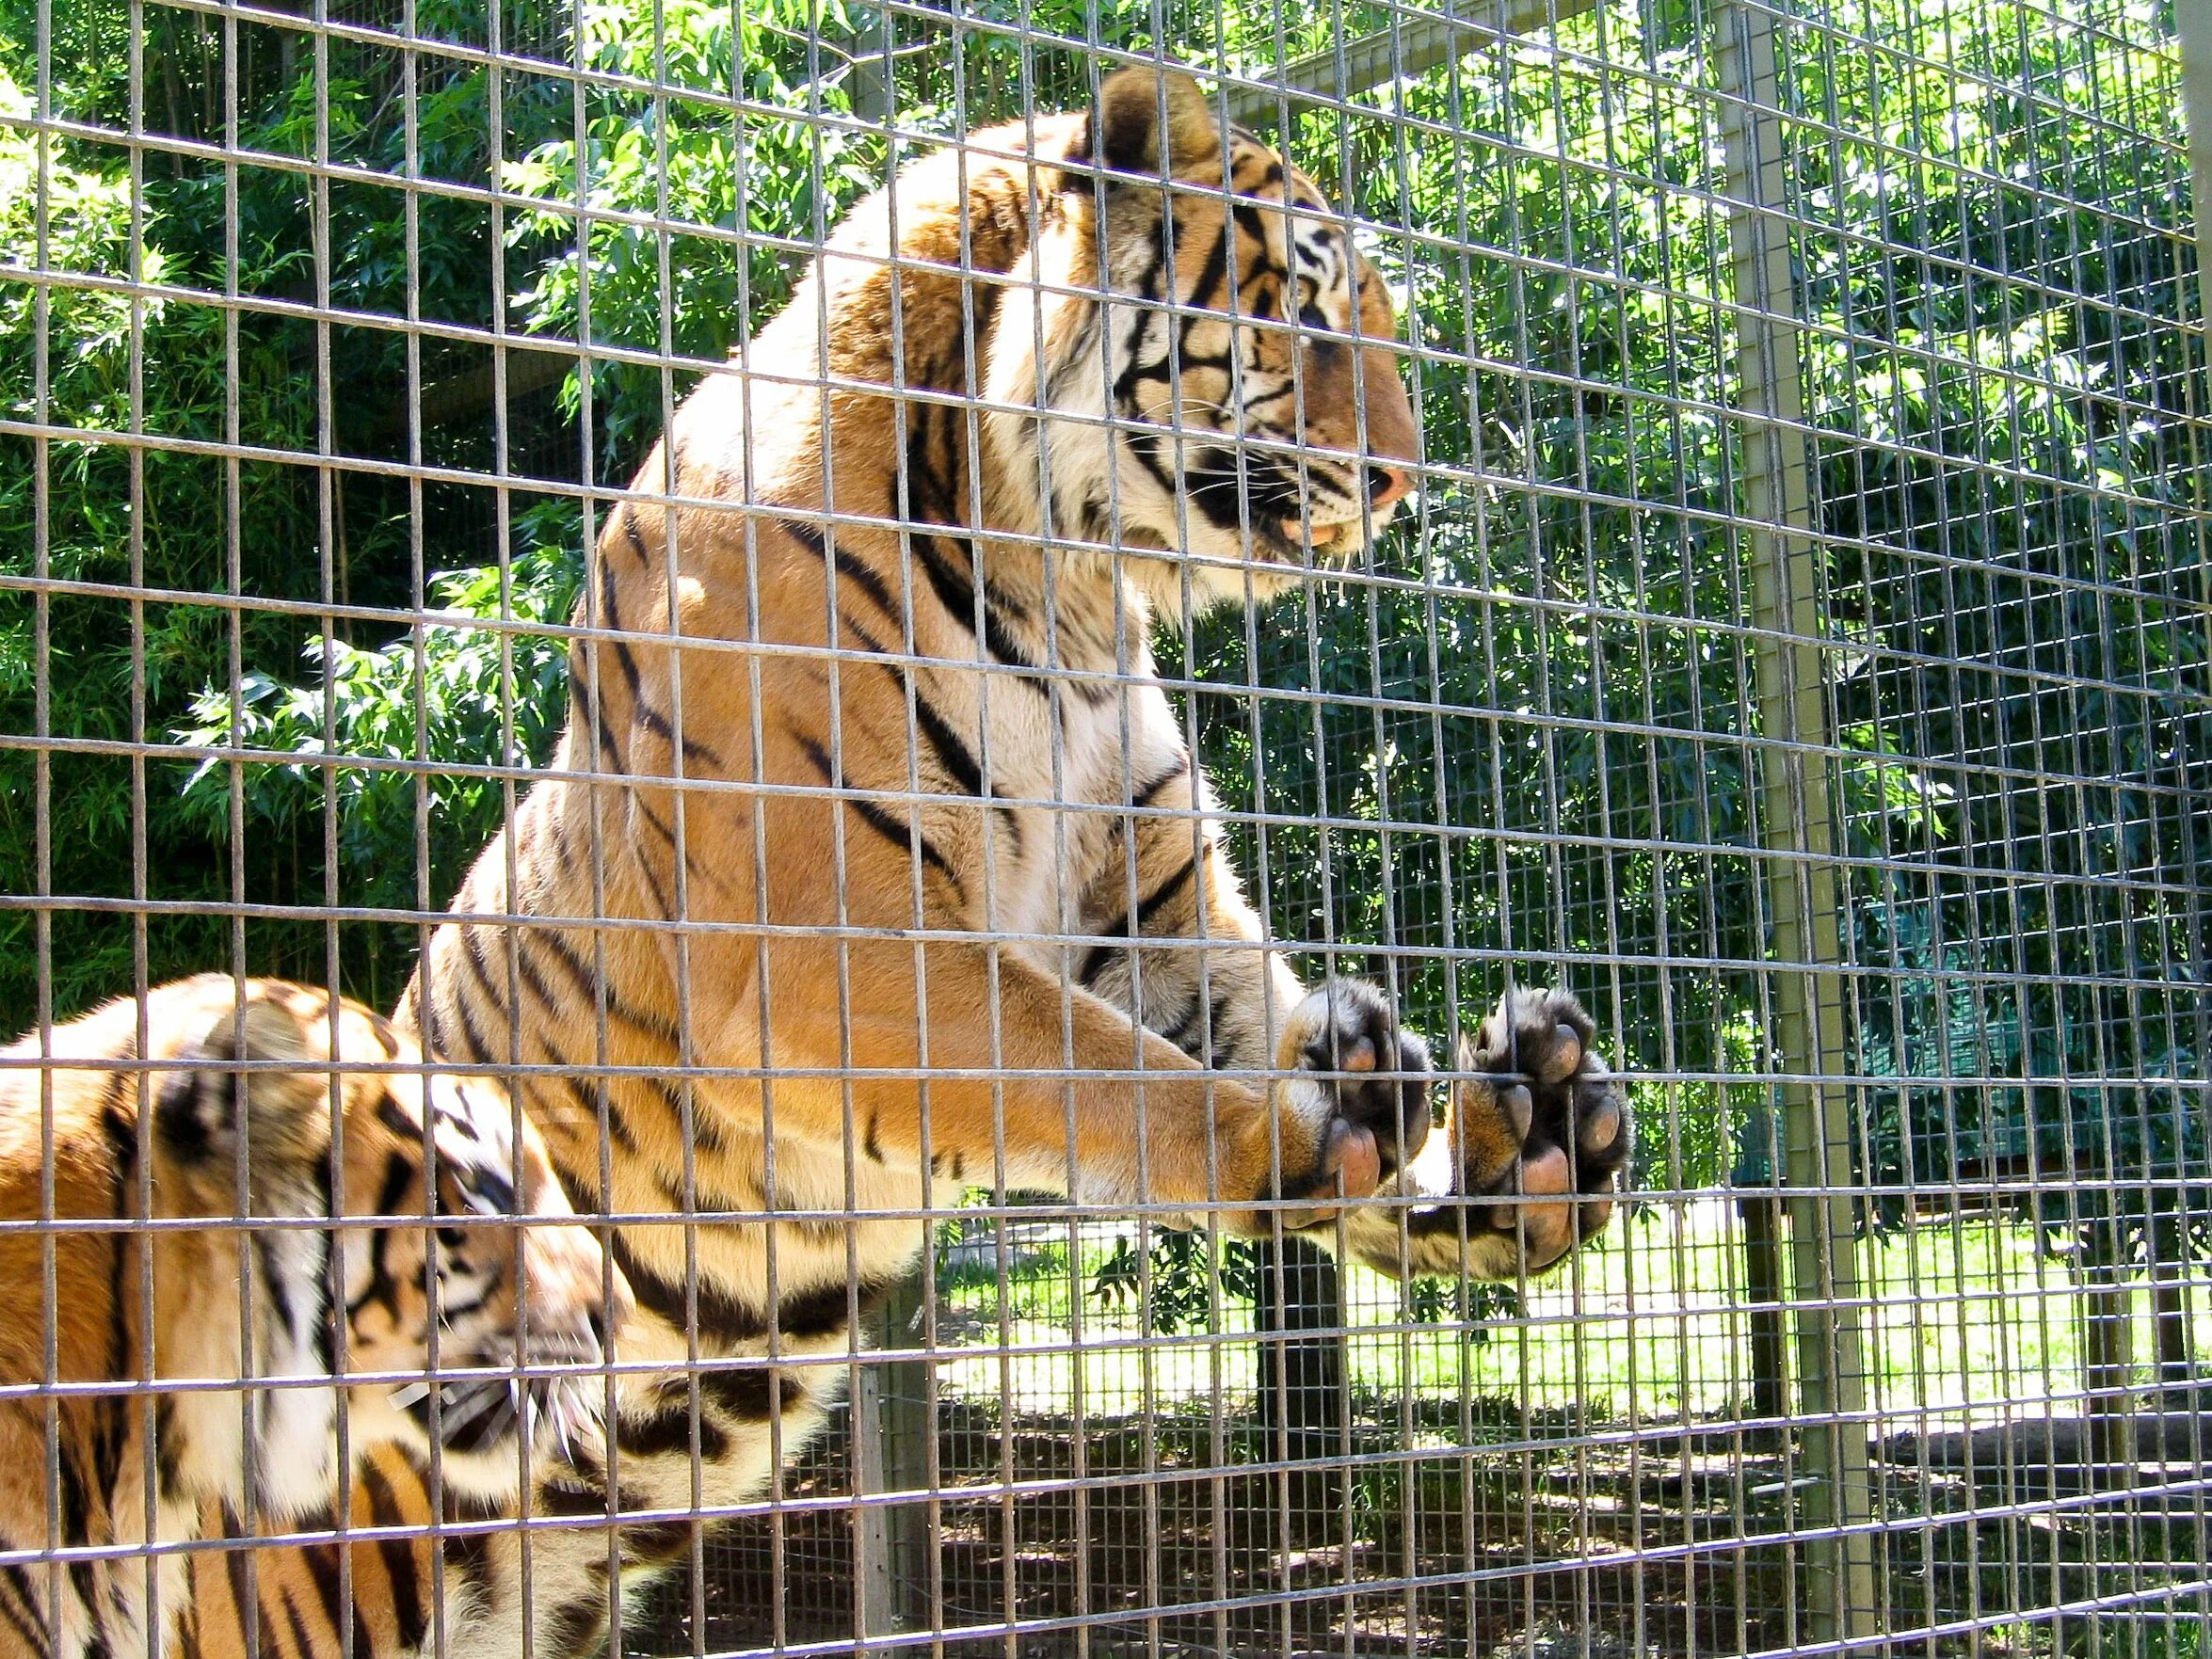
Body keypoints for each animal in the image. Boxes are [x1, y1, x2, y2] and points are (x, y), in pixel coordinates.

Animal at [194, 65, 1645, 1659]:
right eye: (1308, 314)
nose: (1400, 481)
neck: (1064, 577)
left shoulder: (1145, 915)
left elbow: (1227, 1032)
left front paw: (1522, 1143)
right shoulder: (843, 952)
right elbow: (1104, 1077)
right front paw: (1304, 1138)